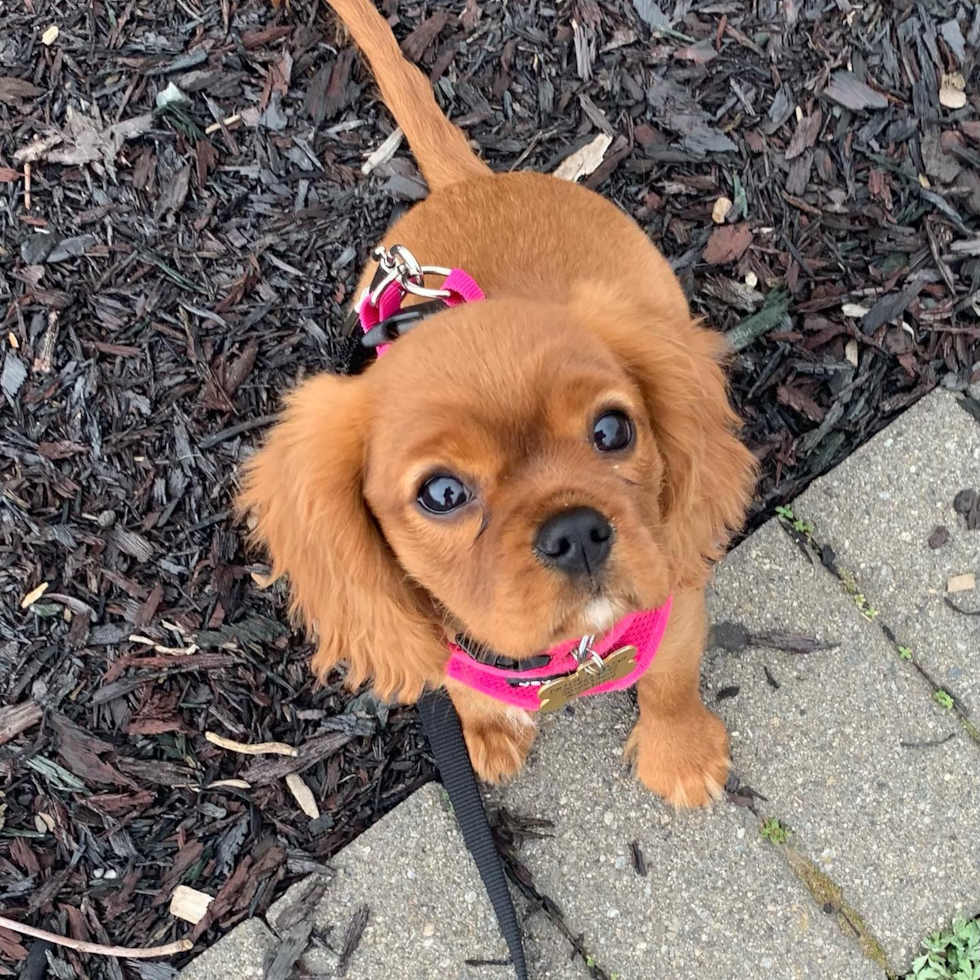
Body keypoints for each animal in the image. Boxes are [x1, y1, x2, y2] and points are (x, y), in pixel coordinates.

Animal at [239, 0, 756, 808]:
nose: (576, 532)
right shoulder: (452, 653)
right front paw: (486, 732)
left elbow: (671, 676)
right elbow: (463, 684)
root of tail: (467, 183)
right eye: (443, 493)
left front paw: (682, 753)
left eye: (613, 429)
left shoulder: (672, 599)